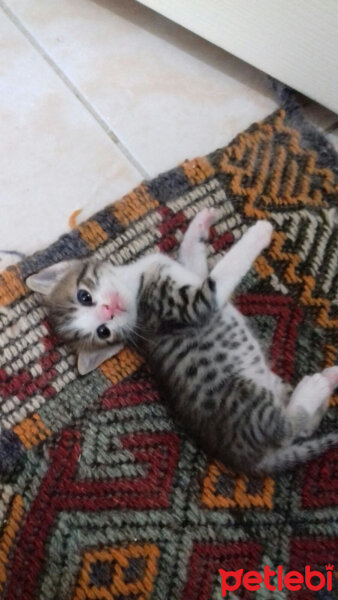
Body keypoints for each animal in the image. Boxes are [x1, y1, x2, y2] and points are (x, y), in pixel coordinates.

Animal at [26, 210, 338, 474]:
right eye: (103, 332)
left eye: (85, 297)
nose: (109, 311)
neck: (136, 283)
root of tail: (246, 460)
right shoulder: (192, 305)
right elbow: (219, 277)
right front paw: (257, 234)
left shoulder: (188, 275)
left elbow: (193, 261)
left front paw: (199, 224)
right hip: (244, 396)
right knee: (287, 428)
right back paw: (314, 388)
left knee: (303, 429)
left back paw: (328, 379)